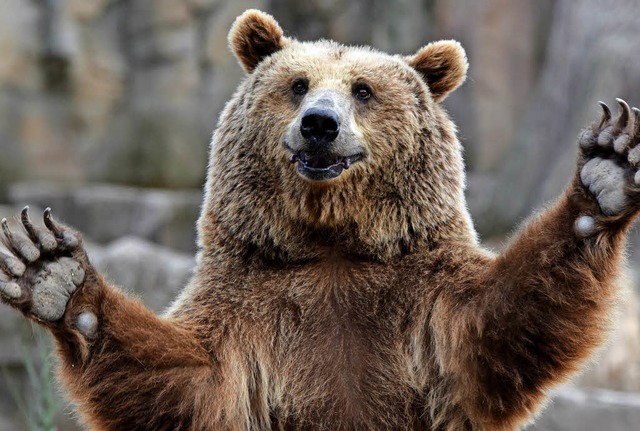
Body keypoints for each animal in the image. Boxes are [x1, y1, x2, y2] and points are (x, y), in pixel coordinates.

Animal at [1, 7, 640, 431]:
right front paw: (54, 273)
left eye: (363, 90)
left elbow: (503, 320)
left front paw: (606, 171)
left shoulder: (421, 296)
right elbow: (189, 382)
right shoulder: (253, 304)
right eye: (297, 84)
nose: (319, 124)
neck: (332, 240)